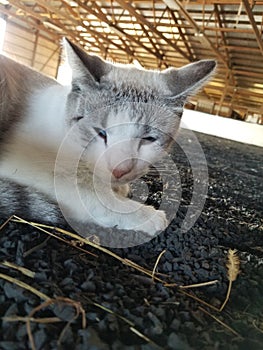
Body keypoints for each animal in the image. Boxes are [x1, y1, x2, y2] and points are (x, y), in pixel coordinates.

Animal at [0, 39, 217, 238]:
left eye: (148, 139)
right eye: (101, 133)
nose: (120, 170)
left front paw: (119, 187)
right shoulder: (19, 162)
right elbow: (90, 193)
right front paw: (143, 214)